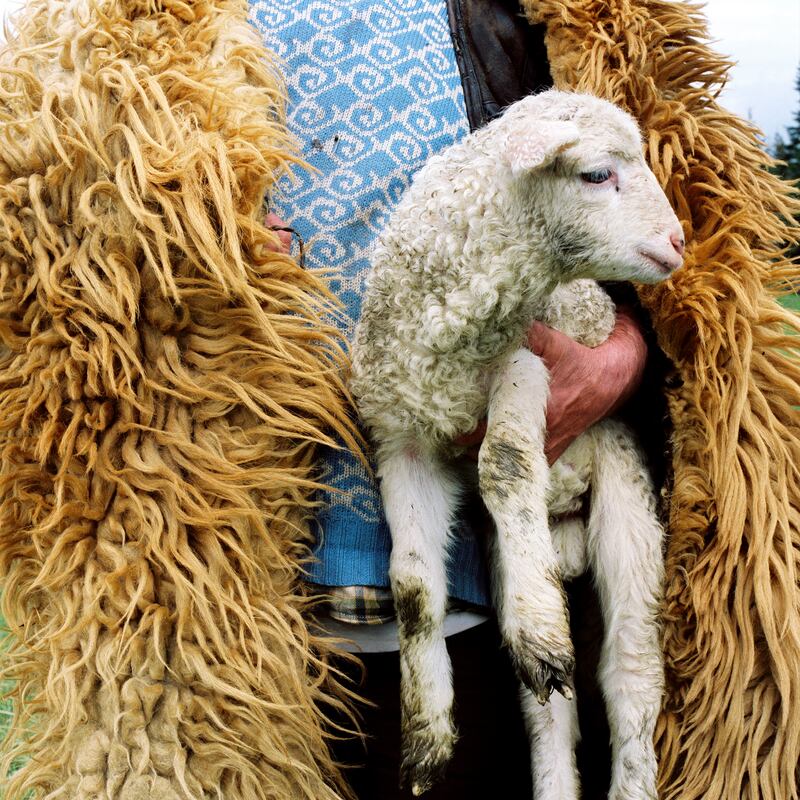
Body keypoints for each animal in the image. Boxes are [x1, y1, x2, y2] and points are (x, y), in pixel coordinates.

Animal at [349, 89, 684, 799]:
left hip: (630, 511)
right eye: (596, 174)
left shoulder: (528, 368)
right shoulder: (403, 439)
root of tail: (567, 539)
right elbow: (412, 587)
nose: (678, 242)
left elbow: (502, 467)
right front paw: (426, 737)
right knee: (547, 707)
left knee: (632, 677)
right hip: (515, 555)